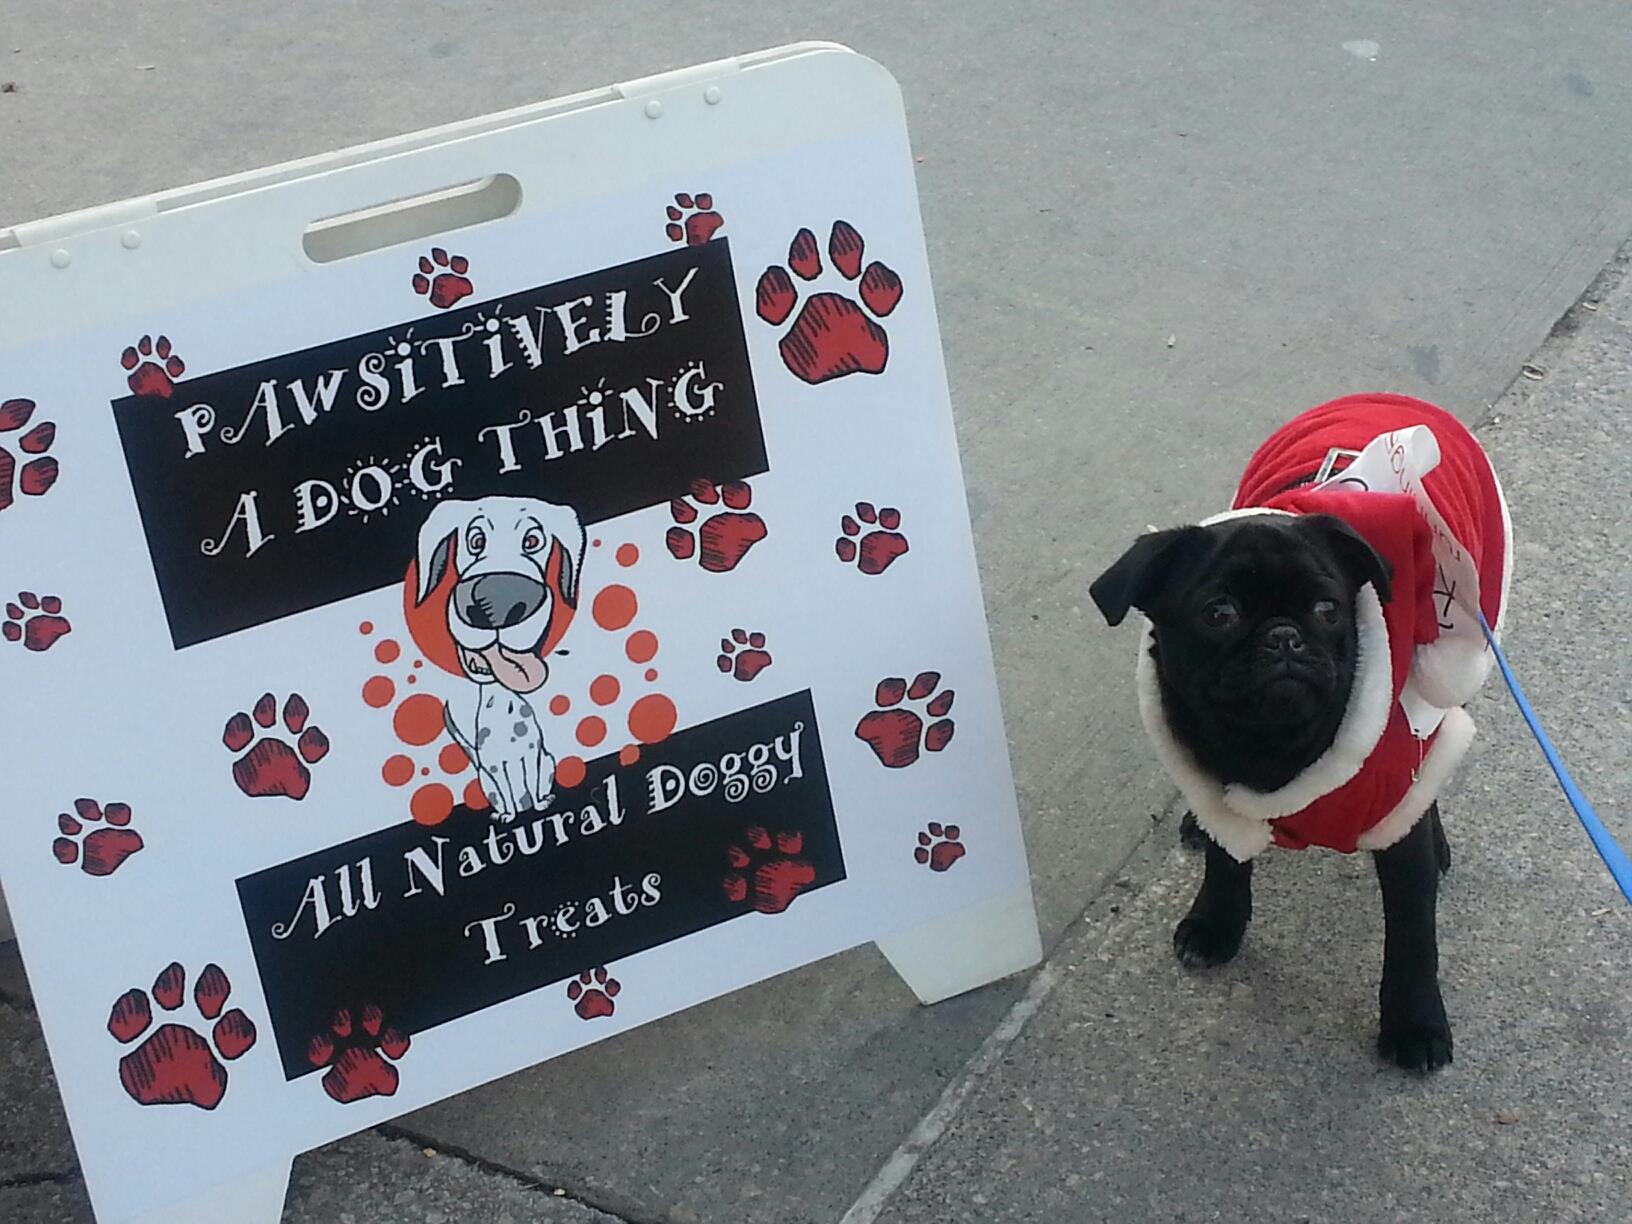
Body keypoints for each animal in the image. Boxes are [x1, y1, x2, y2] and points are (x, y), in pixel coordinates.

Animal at [413, 495, 586, 821]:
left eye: (533, 540)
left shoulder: (533, 755)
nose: (496, 603)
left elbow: (531, 781)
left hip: (548, 761)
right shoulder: (494, 767)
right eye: (475, 540)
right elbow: (507, 791)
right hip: (485, 780)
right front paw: (512, 815)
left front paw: (538, 804)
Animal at [1091, 394, 1511, 1072]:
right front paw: (1217, 921)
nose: (1284, 637)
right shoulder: (1223, 792)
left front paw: (1415, 1022)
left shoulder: (1398, 828)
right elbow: (1227, 858)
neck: (1272, 750)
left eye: (1328, 609)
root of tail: (1389, 399)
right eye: (1219, 613)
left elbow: (1412, 935)